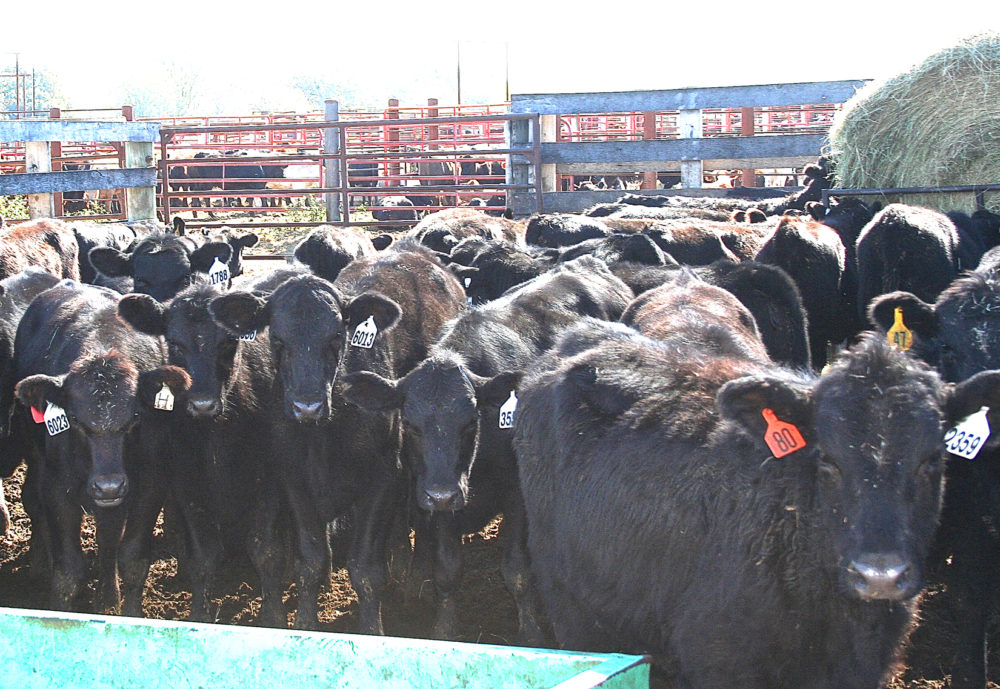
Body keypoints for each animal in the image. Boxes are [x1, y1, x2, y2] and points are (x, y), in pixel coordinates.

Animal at [10, 280, 181, 614]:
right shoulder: (57, 488)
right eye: (75, 420)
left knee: (108, 535)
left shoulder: (151, 484)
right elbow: (68, 571)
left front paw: (129, 613)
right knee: (33, 501)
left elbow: (132, 559)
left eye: (136, 417)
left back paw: (108, 596)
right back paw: (40, 563)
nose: (109, 486)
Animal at [209, 239, 465, 632]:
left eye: (336, 337)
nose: (307, 406)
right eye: (277, 339)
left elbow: (366, 571)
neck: (324, 435)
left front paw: (372, 629)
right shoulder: (293, 479)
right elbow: (311, 560)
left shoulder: (383, 478)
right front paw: (305, 624)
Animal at [342, 254, 633, 642]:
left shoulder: (516, 494)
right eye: (410, 425)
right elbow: (448, 570)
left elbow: (517, 572)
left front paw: (531, 633)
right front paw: (445, 628)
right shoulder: (443, 500)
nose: (441, 494)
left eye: (470, 422)